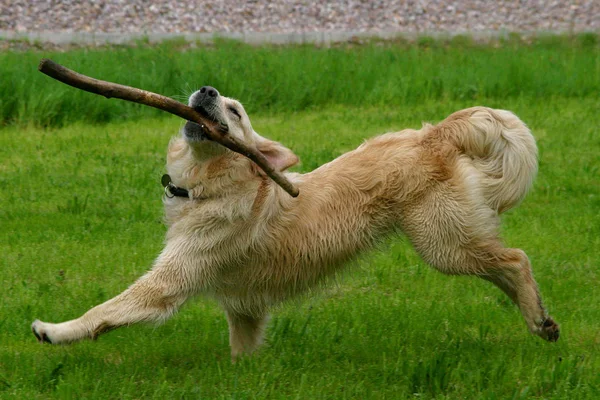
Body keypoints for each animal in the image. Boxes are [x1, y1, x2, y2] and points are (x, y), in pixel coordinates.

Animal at [31, 86, 556, 358]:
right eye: (219, 96)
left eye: (235, 111)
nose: (207, 90)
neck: (210, 186)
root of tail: (435, 133)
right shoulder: (245, 307)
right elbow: (242, 351)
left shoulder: (170, 280)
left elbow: (107, 310)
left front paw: (56, 330)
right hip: (455, 239)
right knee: (503, 266)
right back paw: (539, 320)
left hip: (443, 244)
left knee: (515, 259)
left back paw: (539, 319)